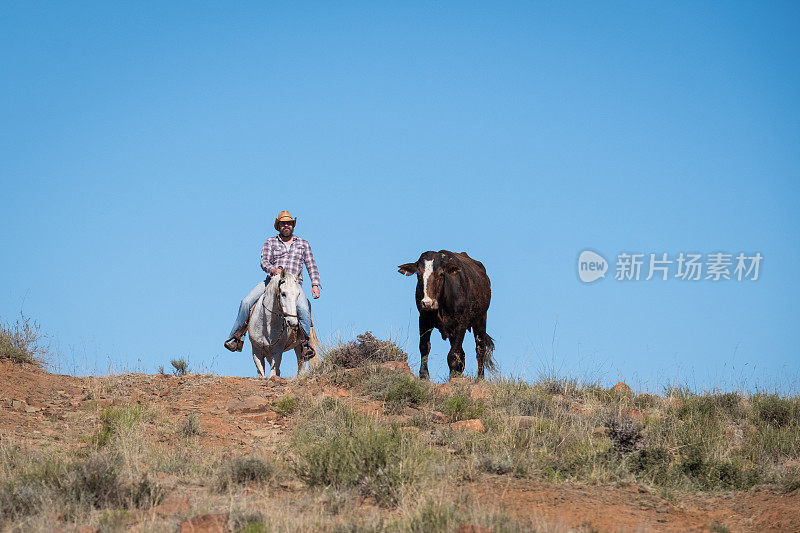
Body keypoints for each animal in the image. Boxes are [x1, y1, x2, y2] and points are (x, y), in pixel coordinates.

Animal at [396, 249, 490, 378]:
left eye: (441, 274)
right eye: (419, 275)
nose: (427, 303)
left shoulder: (461, 323)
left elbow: (453, 354)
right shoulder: (423, 319)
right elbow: (424, 347)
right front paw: (424, 375)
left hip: (481, 319)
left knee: (480, 349)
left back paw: (480, 377)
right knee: (462, 353)